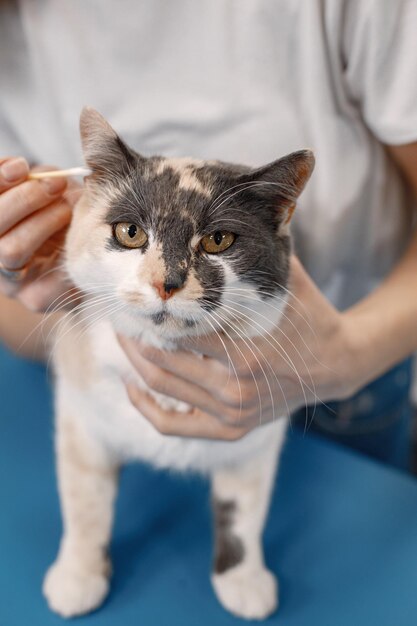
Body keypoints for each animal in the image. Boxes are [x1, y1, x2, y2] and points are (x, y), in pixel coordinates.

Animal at [44, 108, 314, 620]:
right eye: (130, 232)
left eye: (219, 240)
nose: (166, 283)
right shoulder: (82, 417)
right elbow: (85, 503)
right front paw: (78, 577)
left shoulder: (257, 437)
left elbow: (243, 513)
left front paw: (243, 581)